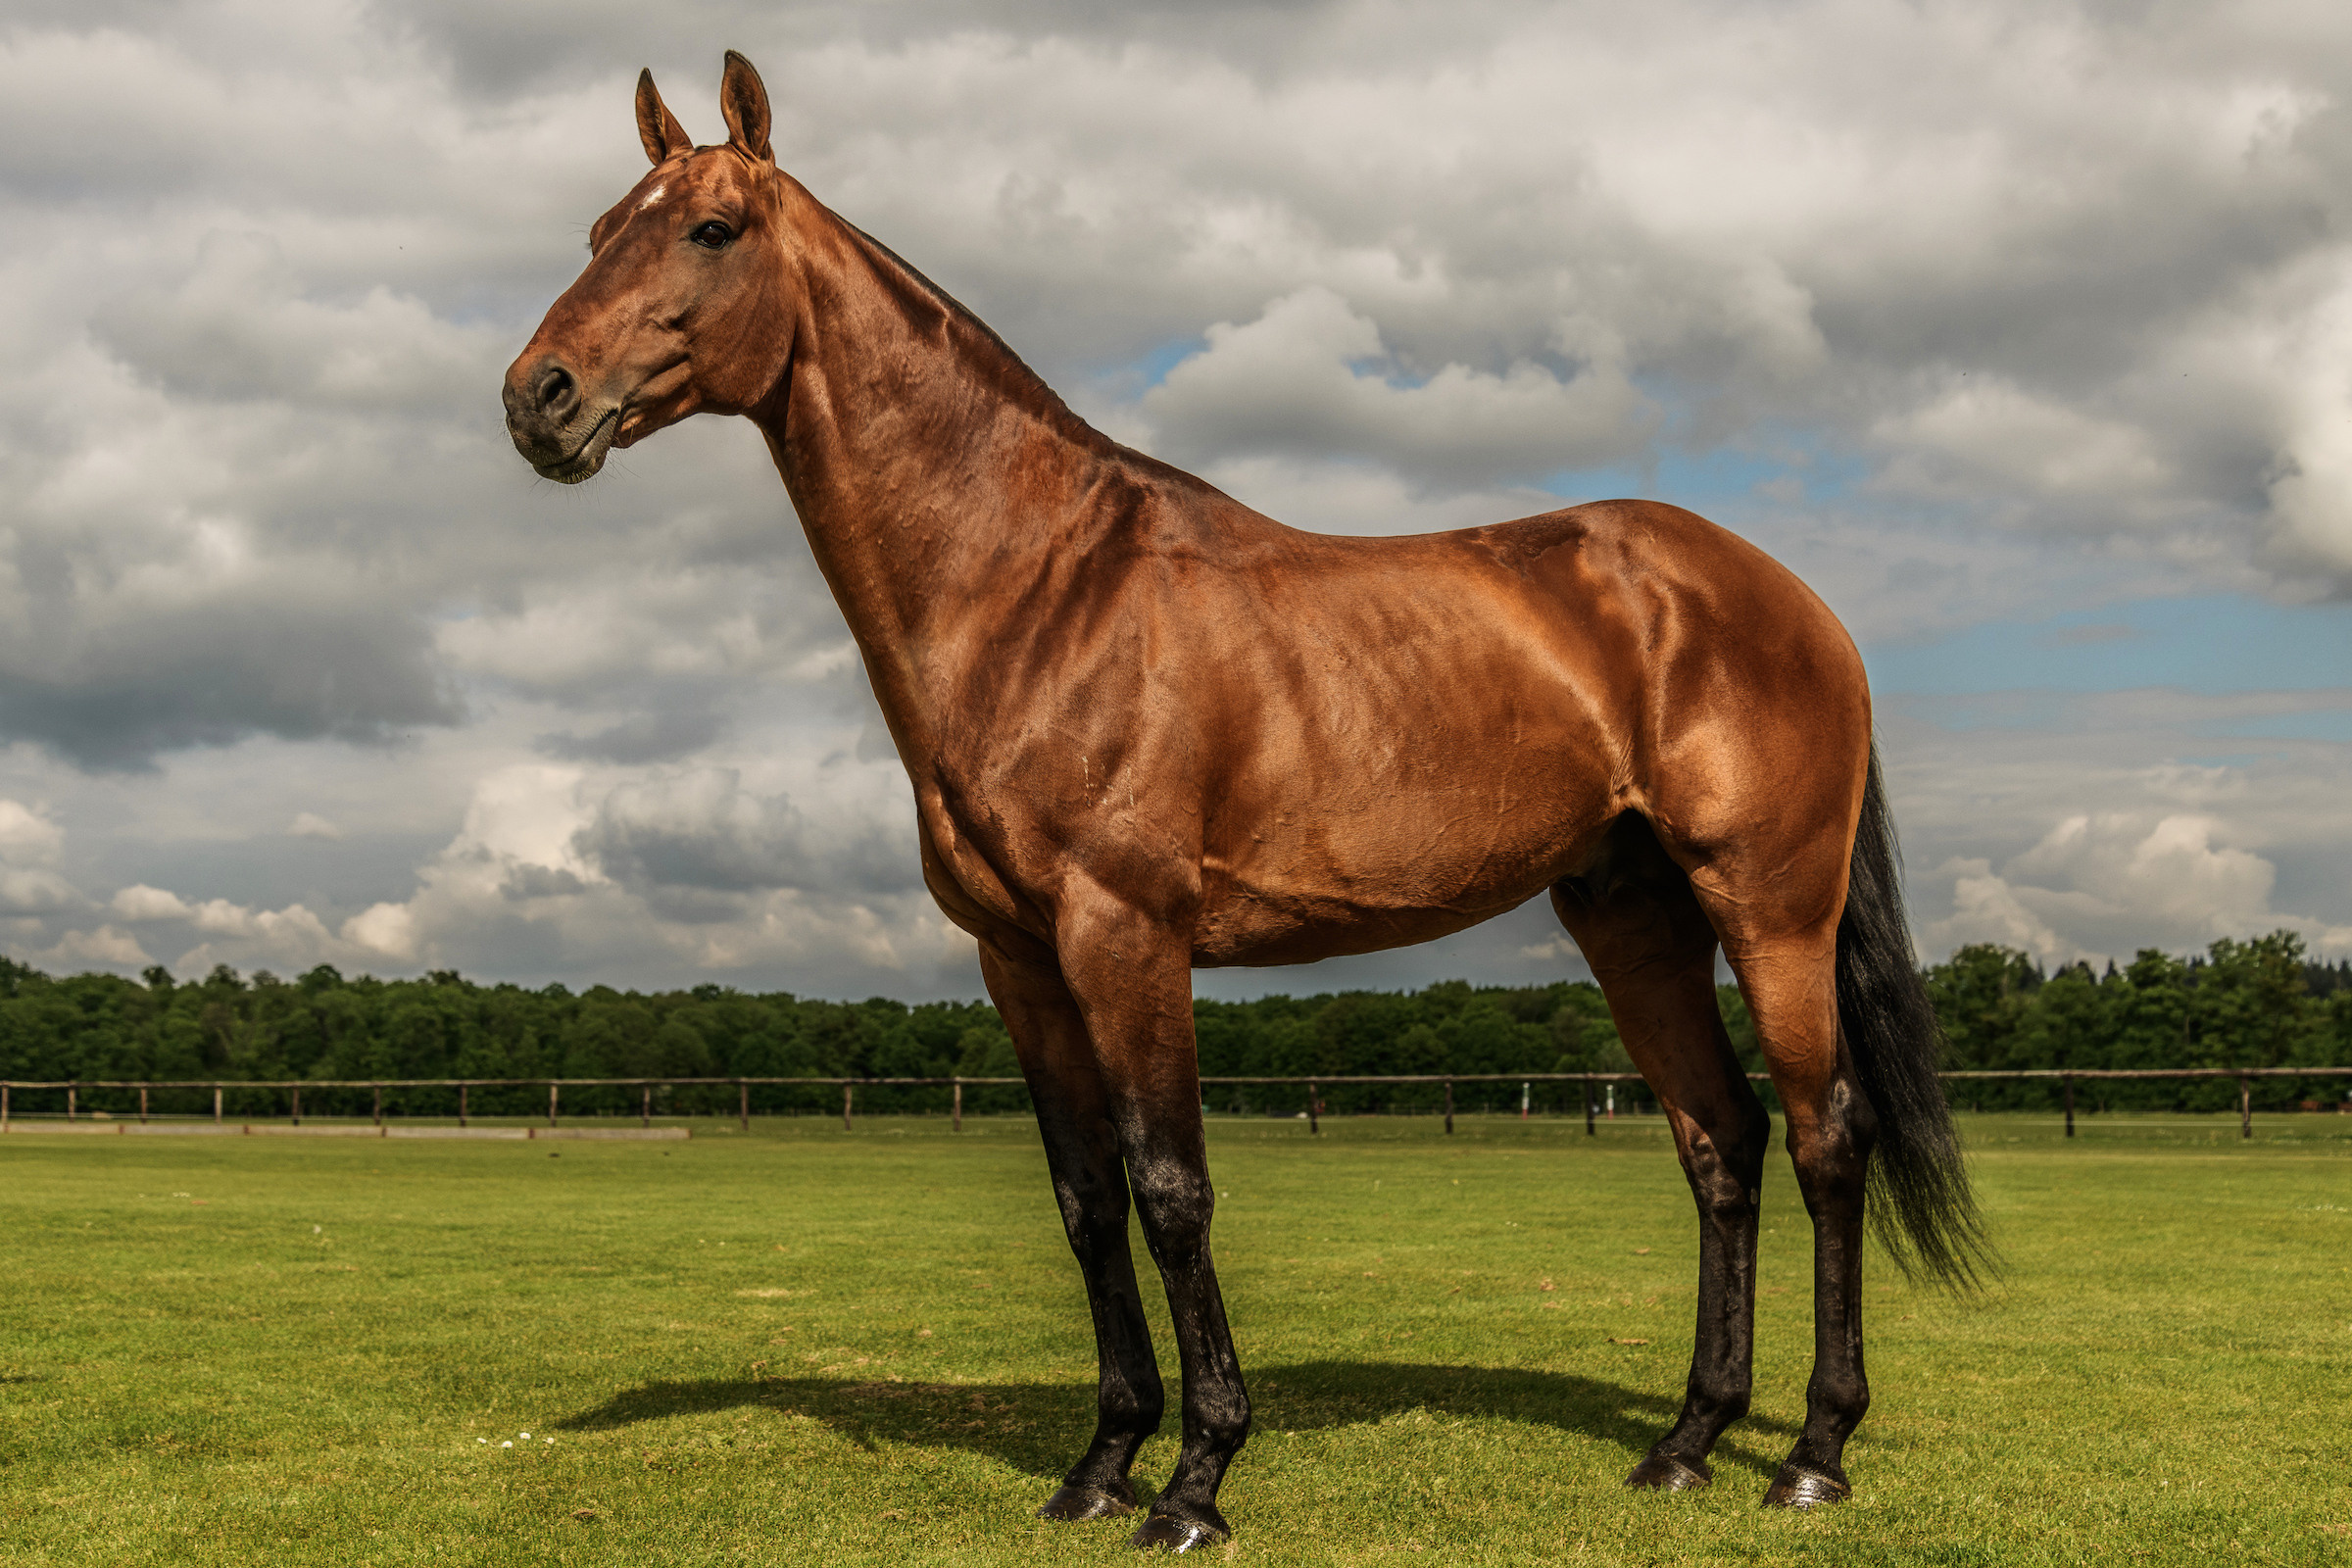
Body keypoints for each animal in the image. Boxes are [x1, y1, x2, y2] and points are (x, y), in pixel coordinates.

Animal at [503, 51, 1985, 1552]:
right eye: (596, 230)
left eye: (711, 230)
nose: (537, 398)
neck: (1040, 587)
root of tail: (1786, 598)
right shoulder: (1019, 959)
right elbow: (1086, 1200)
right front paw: (1100, 1464)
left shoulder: (1127, 936)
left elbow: (1171, 1192)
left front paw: (1195, 1481)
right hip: (1636, 918)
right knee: (1719, 1142)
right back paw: (1687, 1442)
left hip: (1771, 910)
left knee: (1826, 1138)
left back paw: (1814, 1452)